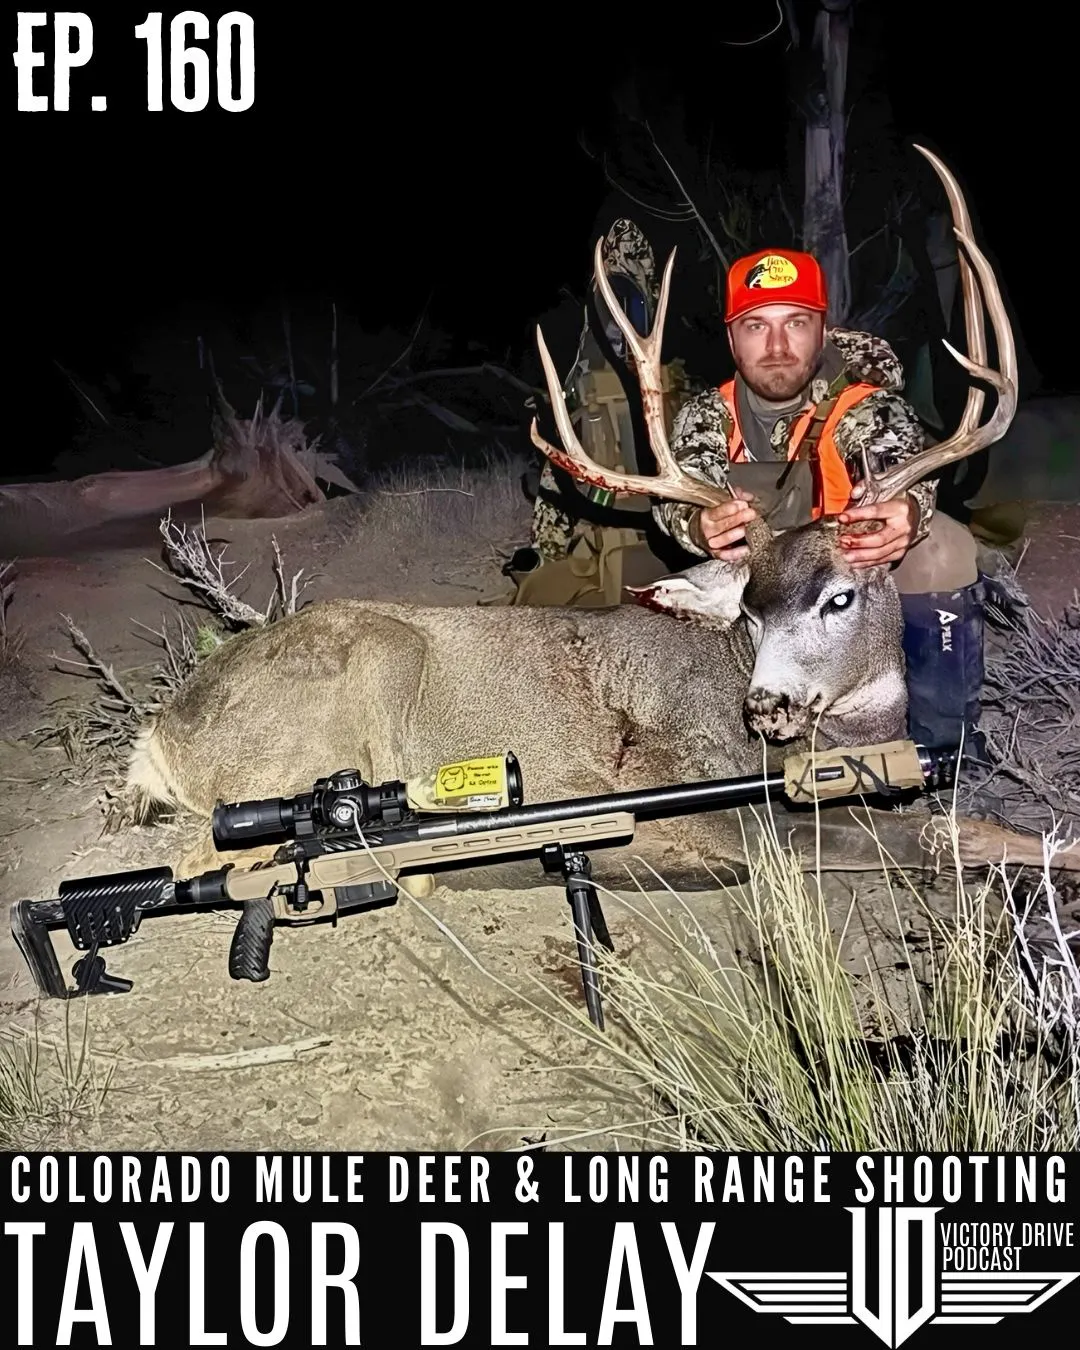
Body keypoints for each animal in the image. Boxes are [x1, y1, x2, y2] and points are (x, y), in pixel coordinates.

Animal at [124, 146, 1075, 888]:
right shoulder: (698, 788)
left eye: (839, 595)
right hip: (360, 687)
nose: (766, 706)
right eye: (752, 607)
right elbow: (928, 835)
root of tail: (162, 732)